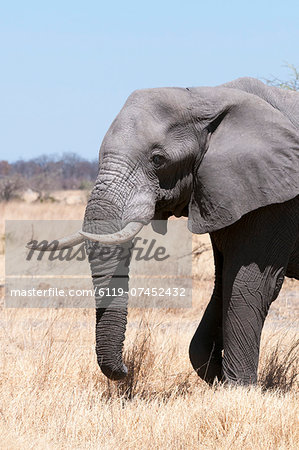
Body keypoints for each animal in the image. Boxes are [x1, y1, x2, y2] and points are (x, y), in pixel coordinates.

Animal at [28, 77, 299, 386]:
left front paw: (239, 389)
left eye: (158, 159)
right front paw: (218, 378)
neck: (209, 96)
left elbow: (250, 284)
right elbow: (223, 283)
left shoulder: (276, 199)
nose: (126, 370)